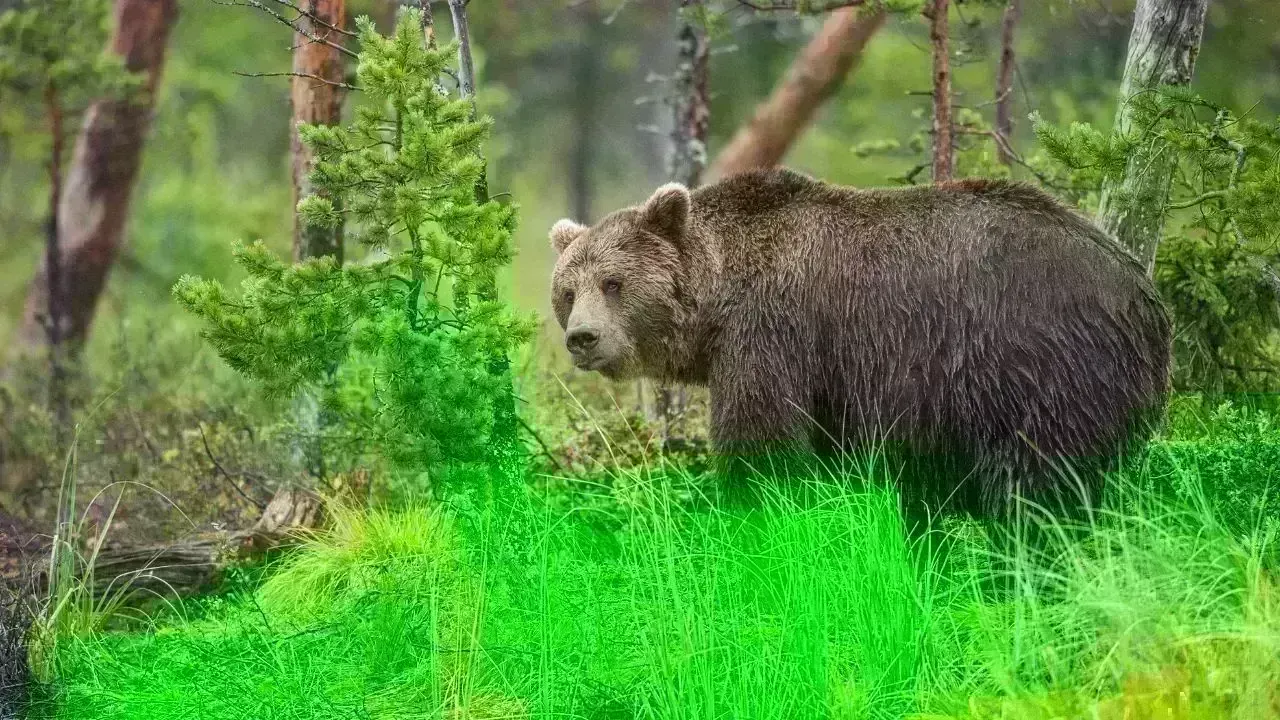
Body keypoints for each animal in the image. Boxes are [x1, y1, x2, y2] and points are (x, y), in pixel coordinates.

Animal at [547, 167, 1172, 524]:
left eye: (614, 283)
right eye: (567, 290)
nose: (582, 337)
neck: (718, 300)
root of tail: (1146, 296)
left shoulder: (772, 335)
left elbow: (763, 448)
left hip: (1042, 365)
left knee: (1039, 491)